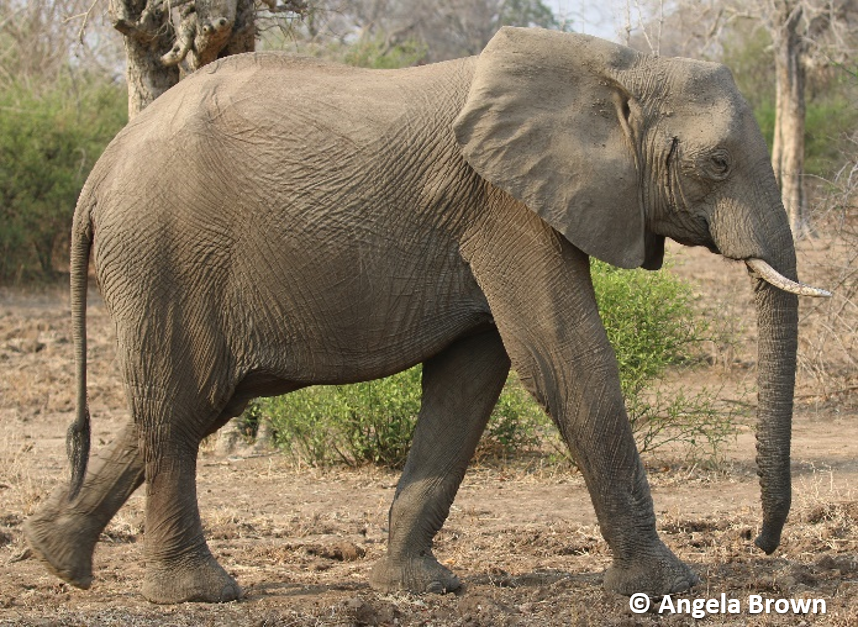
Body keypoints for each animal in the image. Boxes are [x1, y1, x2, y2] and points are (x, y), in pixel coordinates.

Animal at [25, 27, 828, 608]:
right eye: (718, 164)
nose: (762, 545)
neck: (620, 66)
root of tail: (99, 173)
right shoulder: (503, 205)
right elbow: (563, 356)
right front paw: (668, 586)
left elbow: (469, 380)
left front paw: (418, 587)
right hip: (162, 254)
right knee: (178, 403)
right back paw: (196, 593)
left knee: (197, 401)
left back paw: (57, 559)